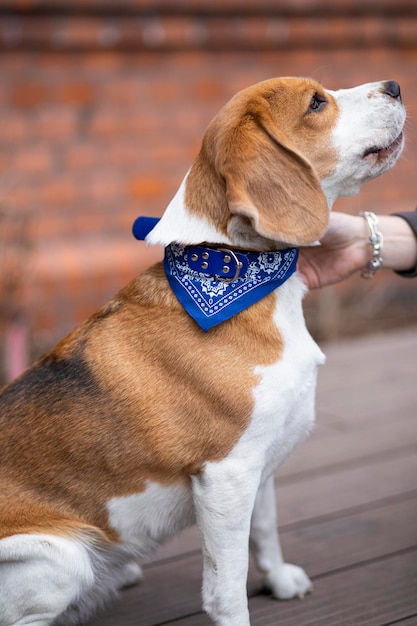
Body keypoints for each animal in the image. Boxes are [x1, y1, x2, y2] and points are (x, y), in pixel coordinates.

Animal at [0, 78, 404, 624]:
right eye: (317, 102)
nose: (396, 86)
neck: (234, 267)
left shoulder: (257, 462)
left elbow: (265, 528)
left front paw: (278, 578)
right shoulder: (226, 474)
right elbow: (226, 585)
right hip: (60, 559)